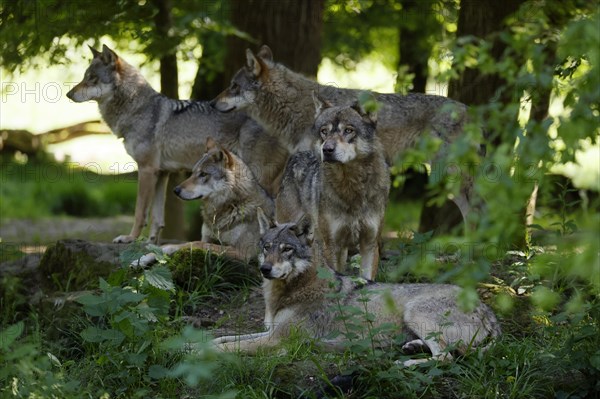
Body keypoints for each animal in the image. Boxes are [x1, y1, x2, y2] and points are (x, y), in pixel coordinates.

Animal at [67, 43, 288, 244]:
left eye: (91, 78)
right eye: (84, 77)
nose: (69, 94)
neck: (137, 108)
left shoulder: (146, 169)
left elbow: (140, 212)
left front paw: (130, 238)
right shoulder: (161, 173)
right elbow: (157, 217)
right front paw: (151, 243)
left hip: (259, 176)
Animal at [132, 139, 276, 268]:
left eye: (203, 174)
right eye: (193, 173)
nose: (175, 190)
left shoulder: (243, 252)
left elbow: (192, 244)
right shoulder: (207, 238)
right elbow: (170, 246)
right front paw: (144, 259)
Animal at [212, 211, 502, 368]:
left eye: (287, 249)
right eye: (267, 247)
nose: (265, 269)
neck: (287, 293)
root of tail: (486, 308)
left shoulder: (277, 340)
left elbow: (229, 348)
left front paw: (200, 353)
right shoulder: (268, 331)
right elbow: (225, 339)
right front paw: (205, 340)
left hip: (413, 312)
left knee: (446, 358)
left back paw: (406, 362)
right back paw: (410, 347)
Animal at [276, 96, 390, 282]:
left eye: (348, 130)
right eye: (324, 131)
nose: (327, 149)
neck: (352, 187)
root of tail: (297, 155)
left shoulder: (370, 244)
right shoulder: (332, 245)